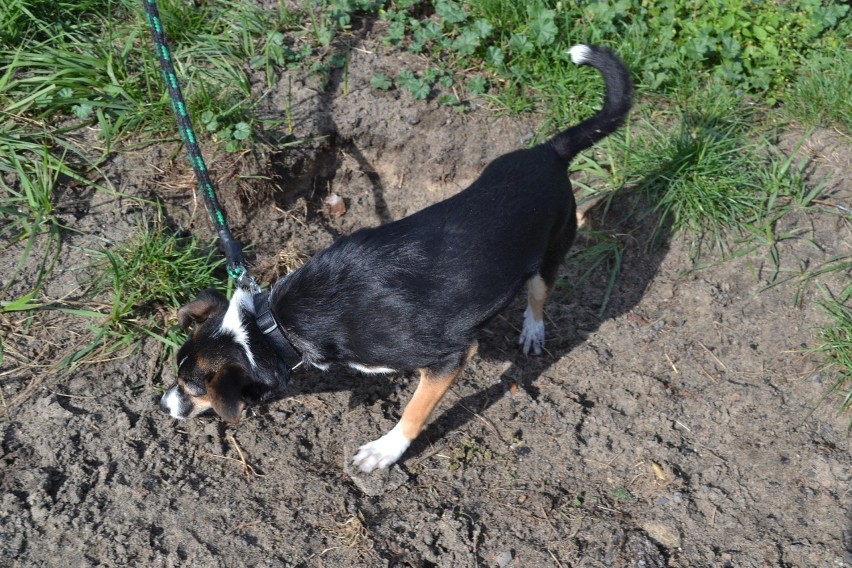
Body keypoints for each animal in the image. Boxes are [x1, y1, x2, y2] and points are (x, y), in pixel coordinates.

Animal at [161, 42, 632, 472]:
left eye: (192, 388)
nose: (163, 405)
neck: (273, 323)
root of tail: (549, 151)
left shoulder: (450, 356)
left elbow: (415, 409)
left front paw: (385, 451)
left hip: (551, 251)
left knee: (538, 295)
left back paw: (533, 330)